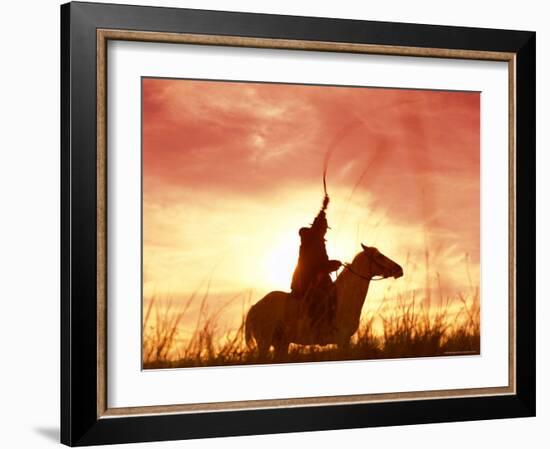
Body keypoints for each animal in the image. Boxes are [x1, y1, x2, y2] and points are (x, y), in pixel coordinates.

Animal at [246, 243, 406, 358]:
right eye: (379, 256)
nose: (399, 269)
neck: (345, 297)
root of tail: (255, 307)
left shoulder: (345, 340)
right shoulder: (342, 340)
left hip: (281, 344)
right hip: (265, 342)